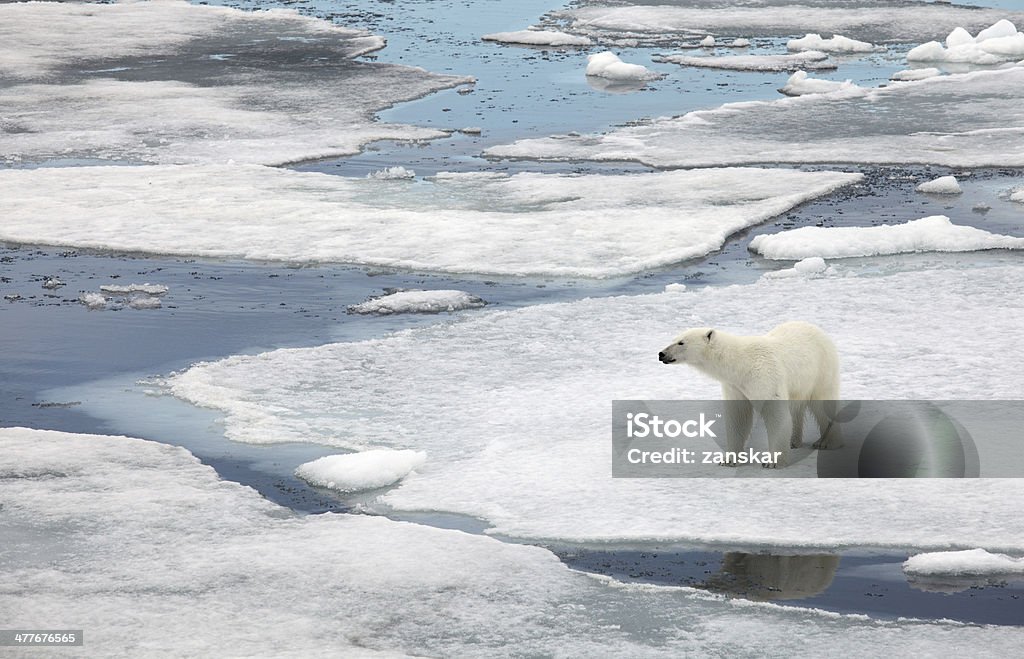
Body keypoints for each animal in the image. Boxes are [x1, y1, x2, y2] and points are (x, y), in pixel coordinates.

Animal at [659, 321, 843, 466]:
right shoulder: (735, 386)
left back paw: (826, 442)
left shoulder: (765, 377)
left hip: (821, 370)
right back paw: (794, 441)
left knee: (823, 404)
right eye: (674, 339)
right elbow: (738, 416)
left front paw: (773, 461)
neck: (741, 365)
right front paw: (729, 459)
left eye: (681, 342)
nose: (661, 354)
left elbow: (775, 413)